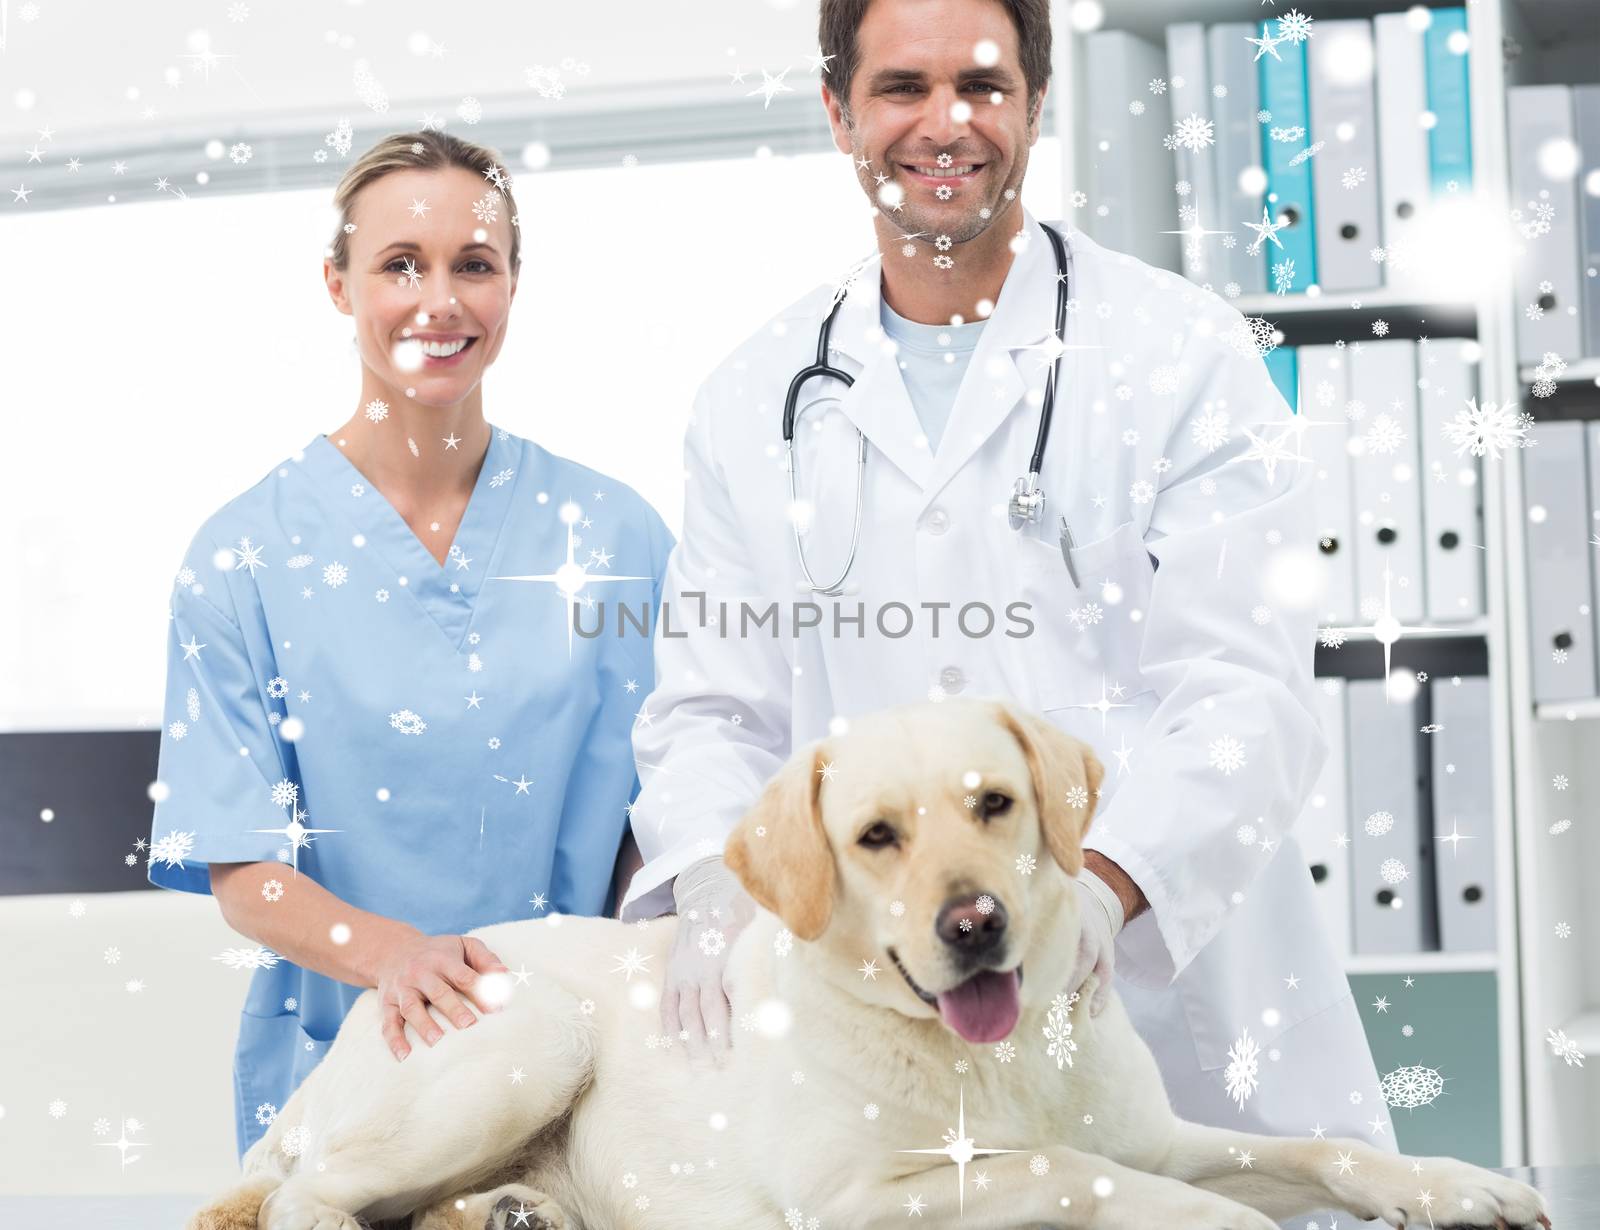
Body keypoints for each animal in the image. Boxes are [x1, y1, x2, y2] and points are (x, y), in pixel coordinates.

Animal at [190, 700, 1548, 1228]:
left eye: (996, 803)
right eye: (875, 838)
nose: (974, 925)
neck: (995, 1057)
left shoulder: (1160, 1136)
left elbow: (1318, 1149)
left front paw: (1460, 1185)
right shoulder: (860, 1197)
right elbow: (1067, 1170)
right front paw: (1212, 1220)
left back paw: (515, 1211)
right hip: (534, 1035)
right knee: (311, 1202)